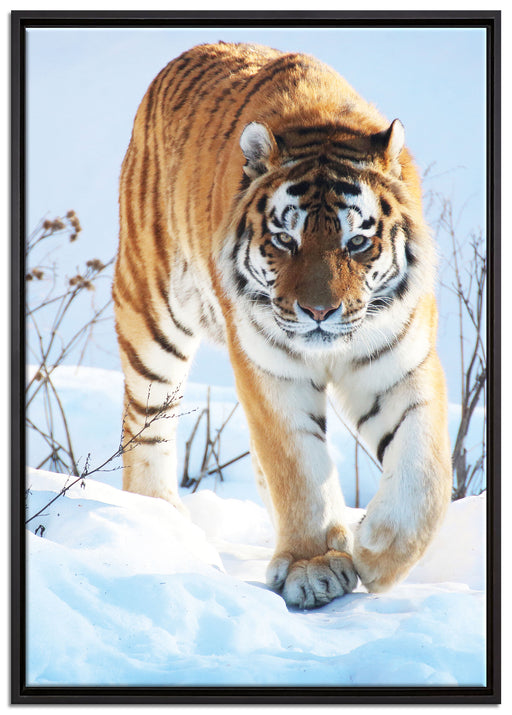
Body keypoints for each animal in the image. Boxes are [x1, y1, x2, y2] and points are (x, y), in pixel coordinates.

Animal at [113, 42, 452, 610]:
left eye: (357, 243)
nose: (318, 312)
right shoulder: (270, 368)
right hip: (151, 313)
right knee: (148, 424)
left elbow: (425, 470)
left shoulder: (399, 362)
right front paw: (314, 566)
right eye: (284, 241)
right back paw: (160, 521)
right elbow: (298, 466)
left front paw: (378, 551)